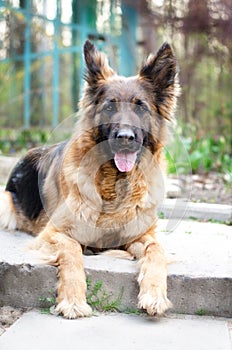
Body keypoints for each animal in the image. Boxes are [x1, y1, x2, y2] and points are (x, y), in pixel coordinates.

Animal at [0, 40, 179, 318]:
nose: (125, 138)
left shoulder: (143, 235)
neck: (115, 183)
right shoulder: (55, 232)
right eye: (109, 106)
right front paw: (73, 300)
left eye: (140, 106)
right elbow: (73, 253)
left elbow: (157, 251)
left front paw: (155, 294)